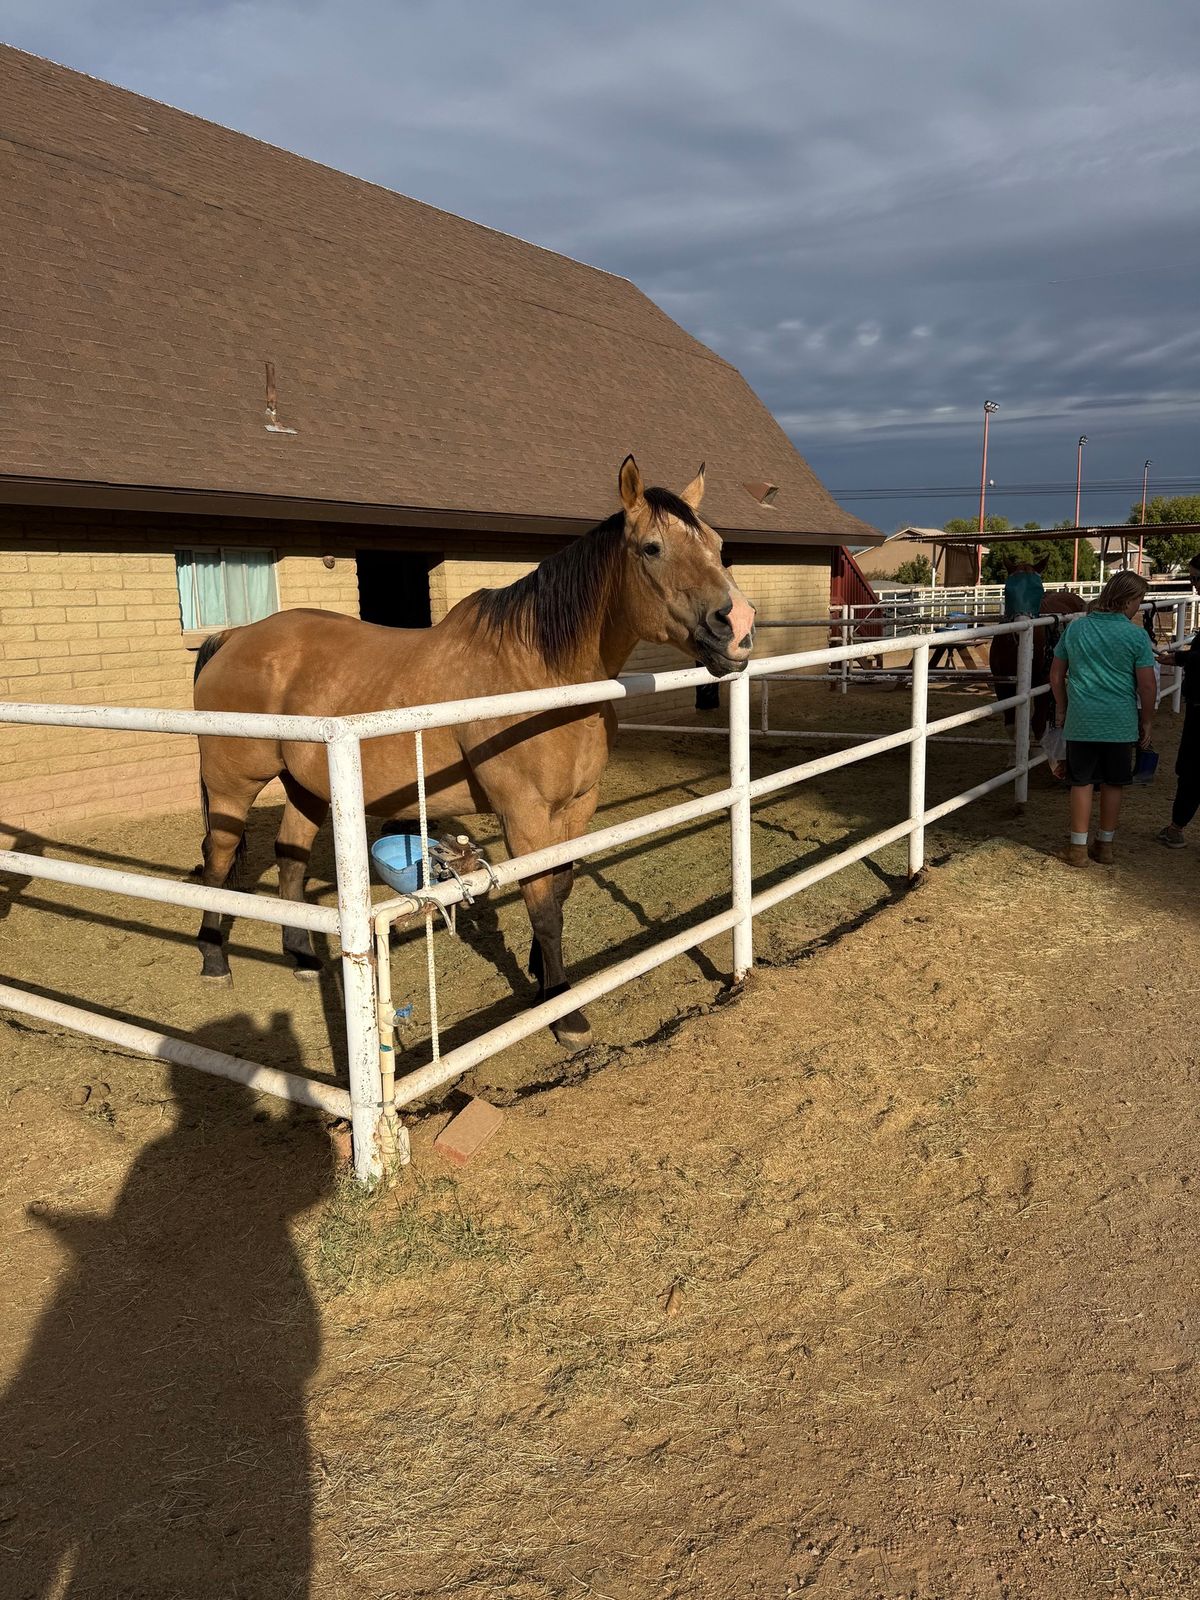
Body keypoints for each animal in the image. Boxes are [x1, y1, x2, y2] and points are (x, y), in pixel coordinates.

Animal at [191, 457, 755, 1049]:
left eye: (719, 546)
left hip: (307, 787)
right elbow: (543, 905)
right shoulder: (524, 814)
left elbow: (560, 889)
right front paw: (565, 1011)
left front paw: (541, 978)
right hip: (233, 787)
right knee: (219, 860)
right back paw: (214, 961)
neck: (540, 675)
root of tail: (235, 637)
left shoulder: (578, 806)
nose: (739, 627)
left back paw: (301, 956)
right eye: (651, 548)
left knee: (291, 858)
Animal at [985, 553, 1088, 739]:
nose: (1021, 623)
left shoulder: (1044, 681)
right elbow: (1013, 726)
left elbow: (1039, 725)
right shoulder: (1003, 684)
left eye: (1039, 590)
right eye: (1008, 590)